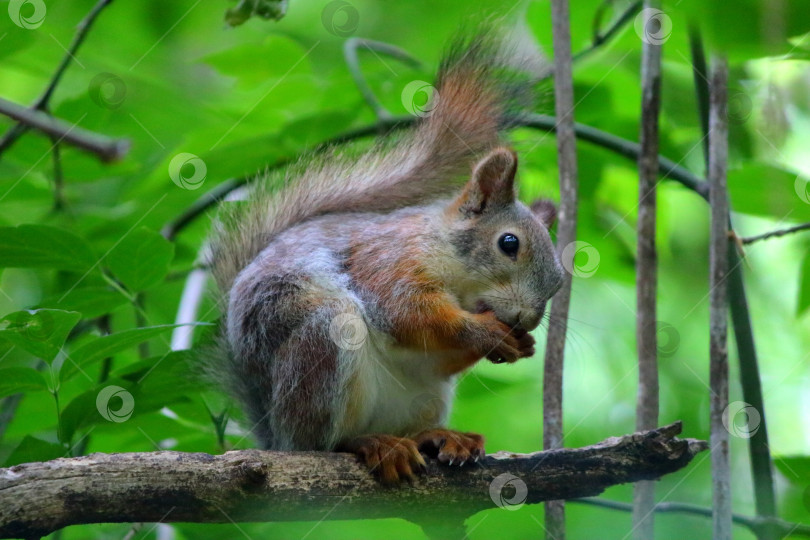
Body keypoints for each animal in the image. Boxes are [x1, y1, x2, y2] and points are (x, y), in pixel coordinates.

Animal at [207, 25, 560, 484]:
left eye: (559, 281)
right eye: (509, 244)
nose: (527, 319)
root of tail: (275, 436)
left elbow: (435, 352)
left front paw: (522, 344)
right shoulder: (388, 262)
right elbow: (409, 314)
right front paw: (489, 333)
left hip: (424, 397)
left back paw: (438, 437)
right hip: (321, 343)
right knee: (321, 443)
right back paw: (367, 443)